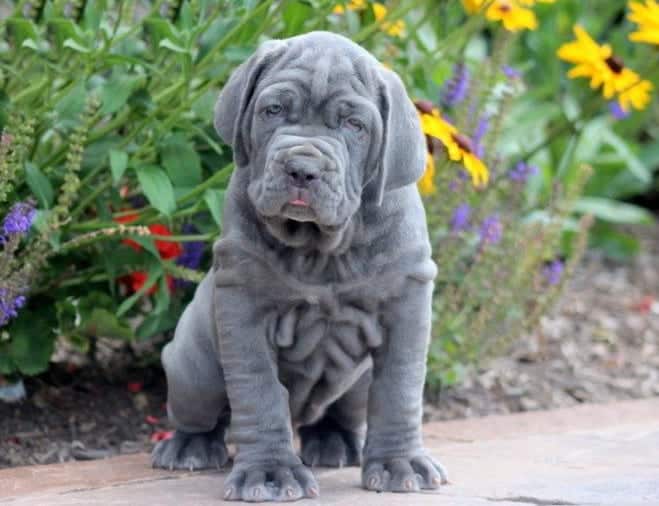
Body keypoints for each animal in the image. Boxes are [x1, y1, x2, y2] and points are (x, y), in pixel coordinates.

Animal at [151, 31, 448, 502]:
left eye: (354, 125)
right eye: (273, 110)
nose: (302, 168)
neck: (321, 247)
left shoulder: (408, 298)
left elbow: (400, 387)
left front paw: (400, 463)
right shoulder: (243, 304)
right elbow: (258, 390)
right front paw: (270, 474)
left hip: (355, 386)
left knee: (344, 411)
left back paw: (336, 441)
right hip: (192, 369)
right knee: (202, 412)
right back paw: (189, 446)